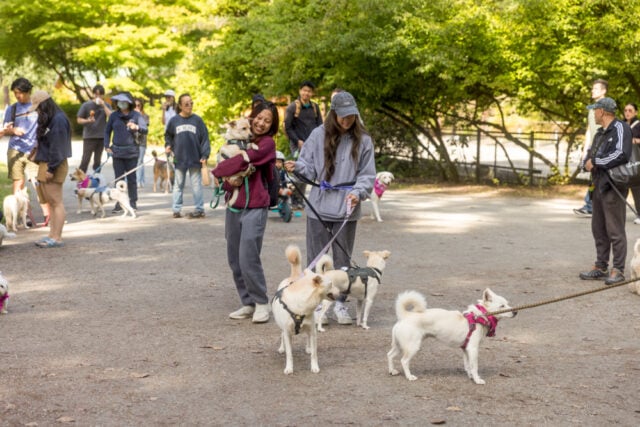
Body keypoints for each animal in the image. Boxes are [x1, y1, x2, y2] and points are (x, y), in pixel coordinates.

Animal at [272, 246, 338, 376]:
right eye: (331, 283)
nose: (340, 291)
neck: (301, 305)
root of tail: (294, 276)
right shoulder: (287, 332)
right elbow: (289, 354)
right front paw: (289, 368)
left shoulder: (313, 331)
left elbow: (314, 354)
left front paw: (314, 367)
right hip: (282, 327)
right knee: (281, 334)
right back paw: (282, 348)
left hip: (310, 328)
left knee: (307, 337)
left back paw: (308, 348)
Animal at [388, 288, 516, 384]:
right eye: (502, 306)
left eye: (507, 303)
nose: (515, 312)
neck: (480, 316)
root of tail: (405, 316)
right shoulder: (473, 349)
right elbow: (474, 366)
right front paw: (477, 380)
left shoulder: (466, 349)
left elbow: (468, 365)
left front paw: (470, 376)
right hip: (413, 346)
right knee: (404, 361)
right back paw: (409, 376)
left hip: (399, 345)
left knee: (389, 355)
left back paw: (392, 371)